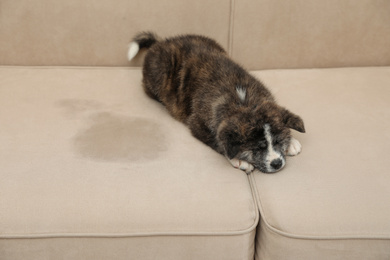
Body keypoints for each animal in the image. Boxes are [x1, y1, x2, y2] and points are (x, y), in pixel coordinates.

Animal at [128, 33, 304, 175]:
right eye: (257, 148)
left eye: (278, 141)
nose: (277, 163)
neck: (244, 102)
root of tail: (161, 43)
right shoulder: (198, 124)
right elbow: (219, 143)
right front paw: (239, 160)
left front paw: (291, 142)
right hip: (158, 76)